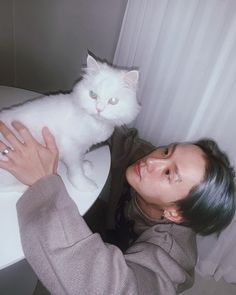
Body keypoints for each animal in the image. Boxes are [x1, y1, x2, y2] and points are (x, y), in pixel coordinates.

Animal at [0, 54, 140, 193]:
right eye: (93, 95)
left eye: (113, 101)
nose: (99, 109)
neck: (93, 121)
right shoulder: (71, 149)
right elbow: (76, 170)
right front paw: (84, 184)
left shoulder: (82, 148)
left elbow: (81, 161)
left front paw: (86, 166)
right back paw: (25, 187)